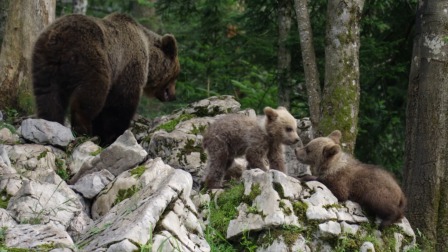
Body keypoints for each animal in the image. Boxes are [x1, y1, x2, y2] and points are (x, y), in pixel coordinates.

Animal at [32, 12, 180, 145]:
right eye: (176, 74)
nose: (173, 95)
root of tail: (60, 38)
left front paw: (104, 134)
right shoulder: (127, 66)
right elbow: (121, 103)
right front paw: (114, 135)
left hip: (45, 63)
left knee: (48, 96)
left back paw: (51, 122)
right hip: (91, 56)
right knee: (92, 93)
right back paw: (84, 131)